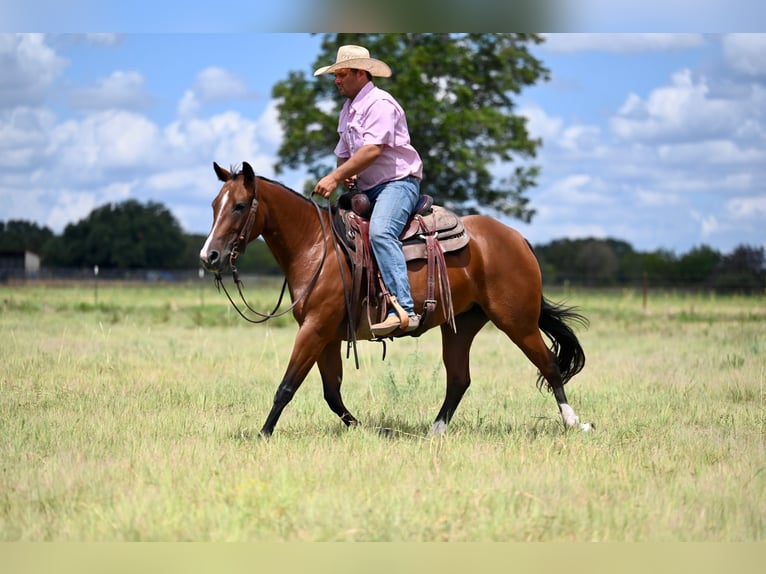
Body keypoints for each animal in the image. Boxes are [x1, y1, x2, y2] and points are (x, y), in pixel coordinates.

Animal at [201, 163, 592, 440]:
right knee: (459, 379)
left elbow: (287, 386)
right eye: (214, 204)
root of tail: (517, 239)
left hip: (517, 320)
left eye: (239, 206)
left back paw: (574, 423)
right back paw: (435, 431)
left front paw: (263, 434)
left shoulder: (314, 329)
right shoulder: (326, 334)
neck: (317, 246)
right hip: (462, 325)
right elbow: (331, 393)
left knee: (548, 365)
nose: (210, 256)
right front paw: (372, 429)